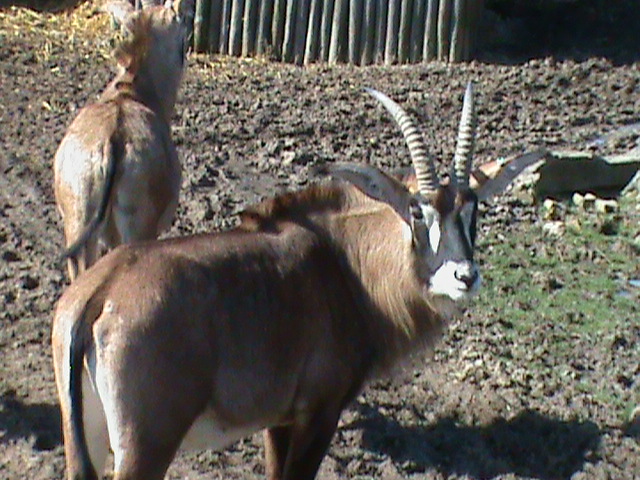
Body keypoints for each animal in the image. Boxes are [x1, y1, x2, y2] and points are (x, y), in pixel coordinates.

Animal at [52, 84, 538, 480]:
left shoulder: (279, 420)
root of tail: (100, 292)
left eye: (473, 209)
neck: (343, 262)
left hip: (86, 440)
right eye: (417, 211)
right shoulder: (318, 412)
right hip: (146, 447)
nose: (464, 276)